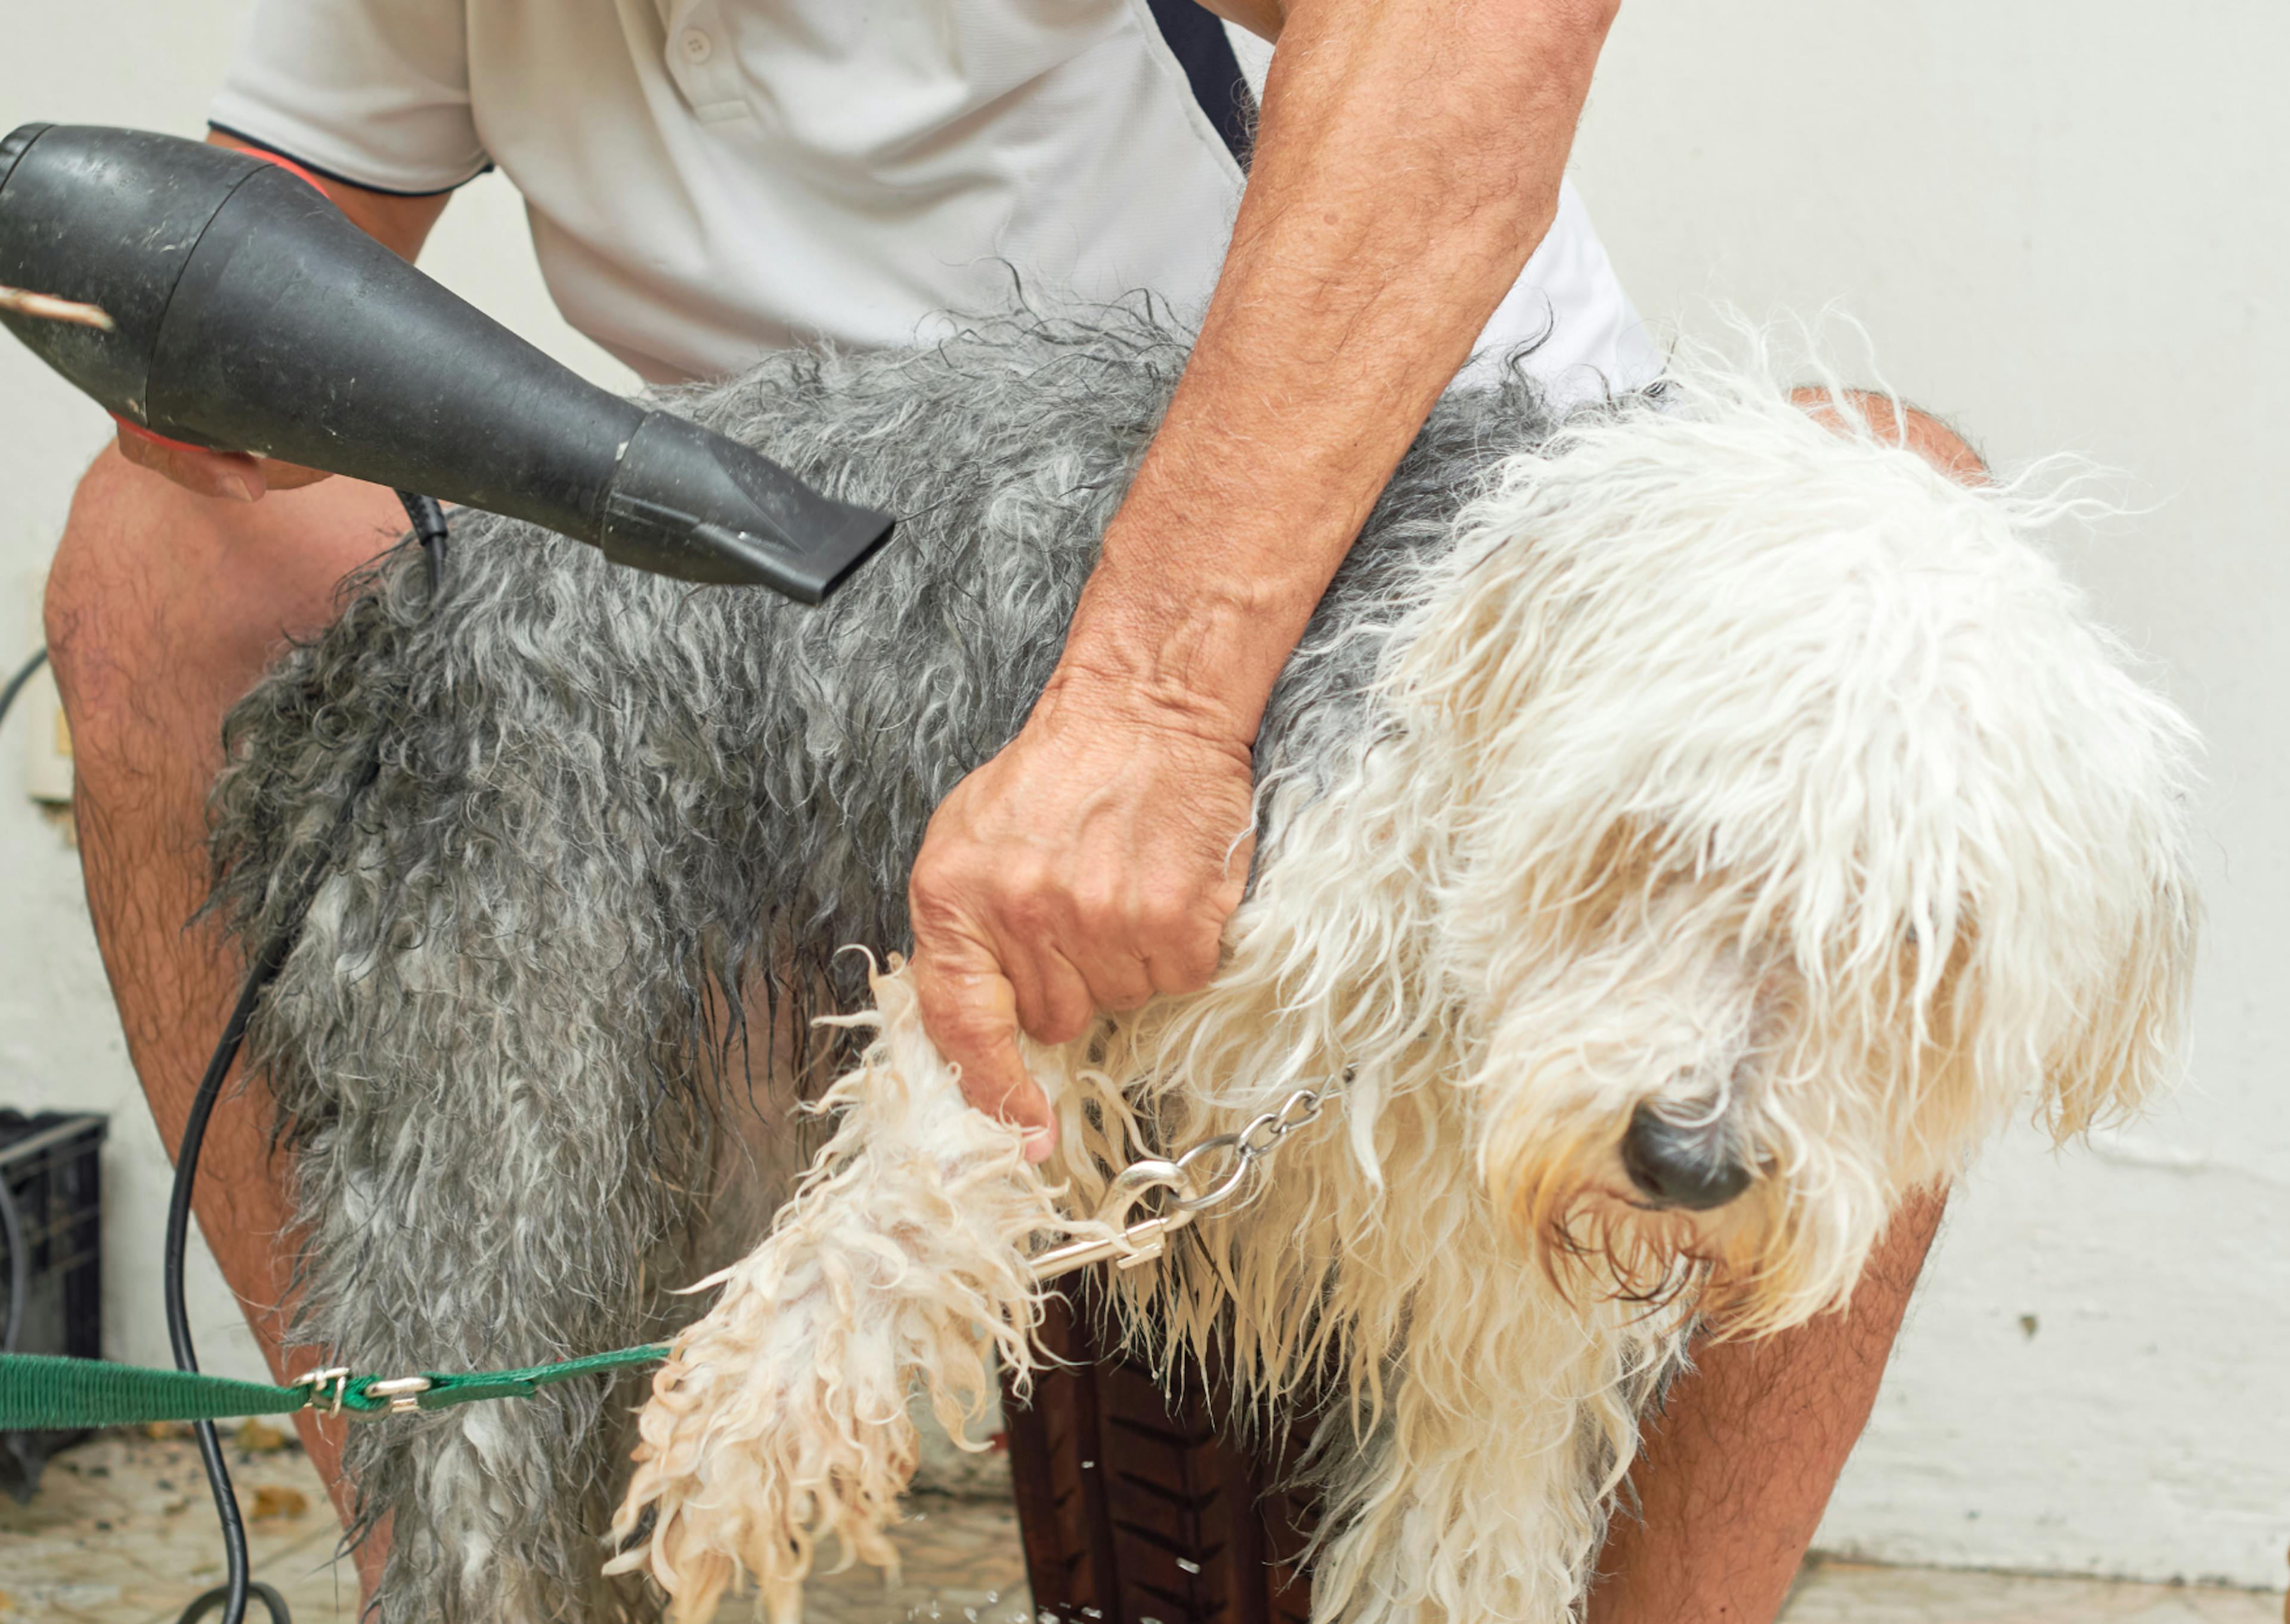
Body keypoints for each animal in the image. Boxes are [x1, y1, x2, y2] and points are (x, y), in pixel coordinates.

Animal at [215, 304, 2198, 1622]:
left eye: (1924, 953)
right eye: (1659, 843)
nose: (1689, 1160)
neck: (1455, 989)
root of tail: (433, 577)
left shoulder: (1501, 1356)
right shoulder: (1083, 889)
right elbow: (912, 1178)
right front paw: (759, 1434)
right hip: (496, 1132)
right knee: (469, 1466)